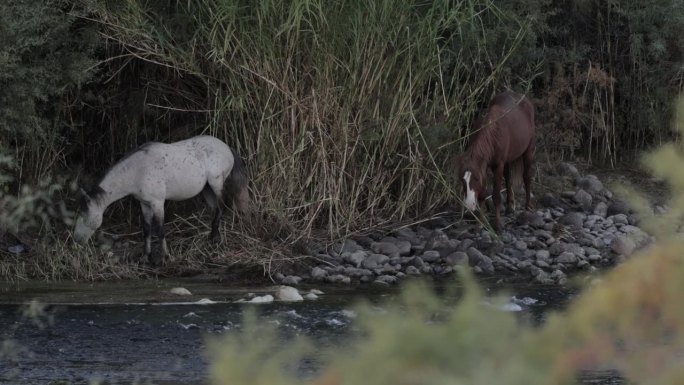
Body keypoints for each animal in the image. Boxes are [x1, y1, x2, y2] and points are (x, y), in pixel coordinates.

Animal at [73, 134, 250, 264]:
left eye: (83, 215)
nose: (76, 240)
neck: (138, 170)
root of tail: (226, 146)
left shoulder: (157, 203)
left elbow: (160, 229)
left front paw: (165, 257)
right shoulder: (144, 204)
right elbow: (146, 229)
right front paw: (146, 257)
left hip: (216, 184)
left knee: (221, 208)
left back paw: (215, 240)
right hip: (207, 189)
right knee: (215, 210)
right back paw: (213, 239)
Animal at [456, 91, 536, 231]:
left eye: (475, 178)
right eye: (462, 180)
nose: (469, 205)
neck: (492, 133)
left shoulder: (497, 165)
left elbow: (496, 196)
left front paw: (497, 224)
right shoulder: (484, 166)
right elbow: (482, 194)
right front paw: (480, 222)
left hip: (528, 150)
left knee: (526, 176)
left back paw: (528, 205)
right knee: (508, 179)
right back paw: (509, 207)